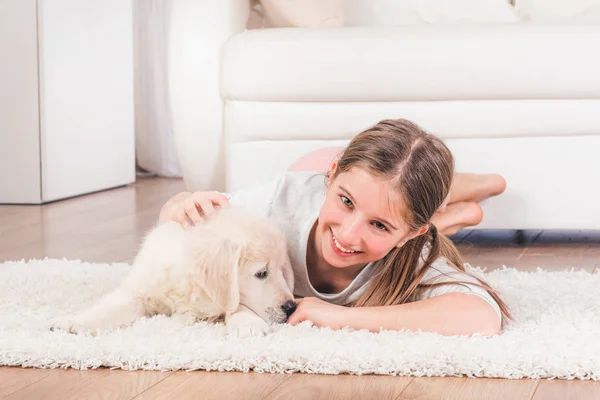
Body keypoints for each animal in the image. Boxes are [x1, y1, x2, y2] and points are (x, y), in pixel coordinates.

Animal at [51, 206, 296, 338]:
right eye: (262, 273)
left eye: (282, 270)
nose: (291, 307)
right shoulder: (141, 290)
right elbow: (110, 308)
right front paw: (73, 322)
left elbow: (236, 305)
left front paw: (248, 323)